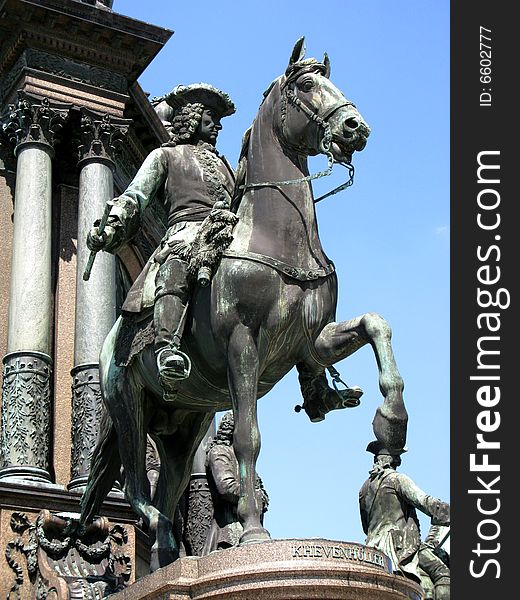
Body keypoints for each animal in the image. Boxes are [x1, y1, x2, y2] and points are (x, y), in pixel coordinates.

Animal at [79, 37, 408, 572]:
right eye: (306, 84)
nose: (354, 127)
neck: (279, 239)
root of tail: (110, 338)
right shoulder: (243, 344)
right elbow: (248, 438)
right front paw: (254, 532)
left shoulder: (312, 343)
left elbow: (377, 325)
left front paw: (391, 423)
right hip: (127, 405)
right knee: (135, 488)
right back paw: (156, 532)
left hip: (184, 426)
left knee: (169, 486)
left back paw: (170, 558)